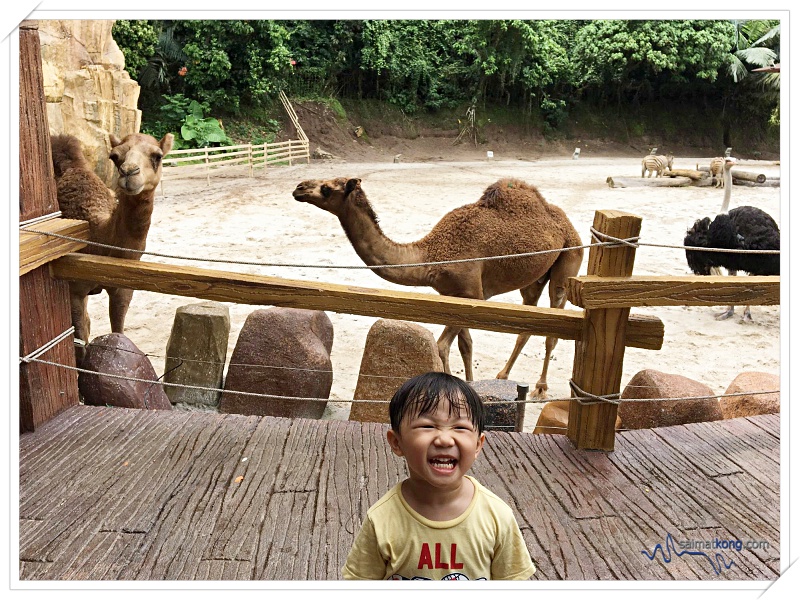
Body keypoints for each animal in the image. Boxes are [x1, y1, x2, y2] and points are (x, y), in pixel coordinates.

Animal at [52, 133, 175, 364]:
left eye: (158, 155)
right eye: (115, 156)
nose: (130, 172)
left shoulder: (123, 289)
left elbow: (118, 332)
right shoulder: (74, 289)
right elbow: (80, 346)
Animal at [290, 176, 584, 396]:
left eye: (327, 187)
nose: (299, 188)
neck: (430, 256)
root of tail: (565, 222)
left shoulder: (472, 294)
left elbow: (442, 346)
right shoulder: (455, 296)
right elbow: (466, 344)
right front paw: (472, 385)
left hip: (569, 260)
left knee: (553, 327)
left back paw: (541, 387)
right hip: (534, 278)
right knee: (528, 323)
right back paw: (502, 376)